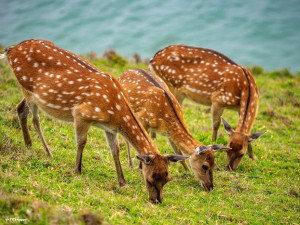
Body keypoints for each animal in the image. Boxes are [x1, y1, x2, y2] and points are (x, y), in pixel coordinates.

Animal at [1, 39, 188, 203]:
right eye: (149, 179)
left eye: (167, 179)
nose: (156, 200)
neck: (115, 111)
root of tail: (10, 50)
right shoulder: (81, 114)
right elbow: (81, 142)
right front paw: (76, 170)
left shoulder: (110, 128)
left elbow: (115, 150)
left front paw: (122, 182)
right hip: (27, 88)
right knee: (35, 119)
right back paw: (47, 152)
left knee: (20, 109)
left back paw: (28, 145)